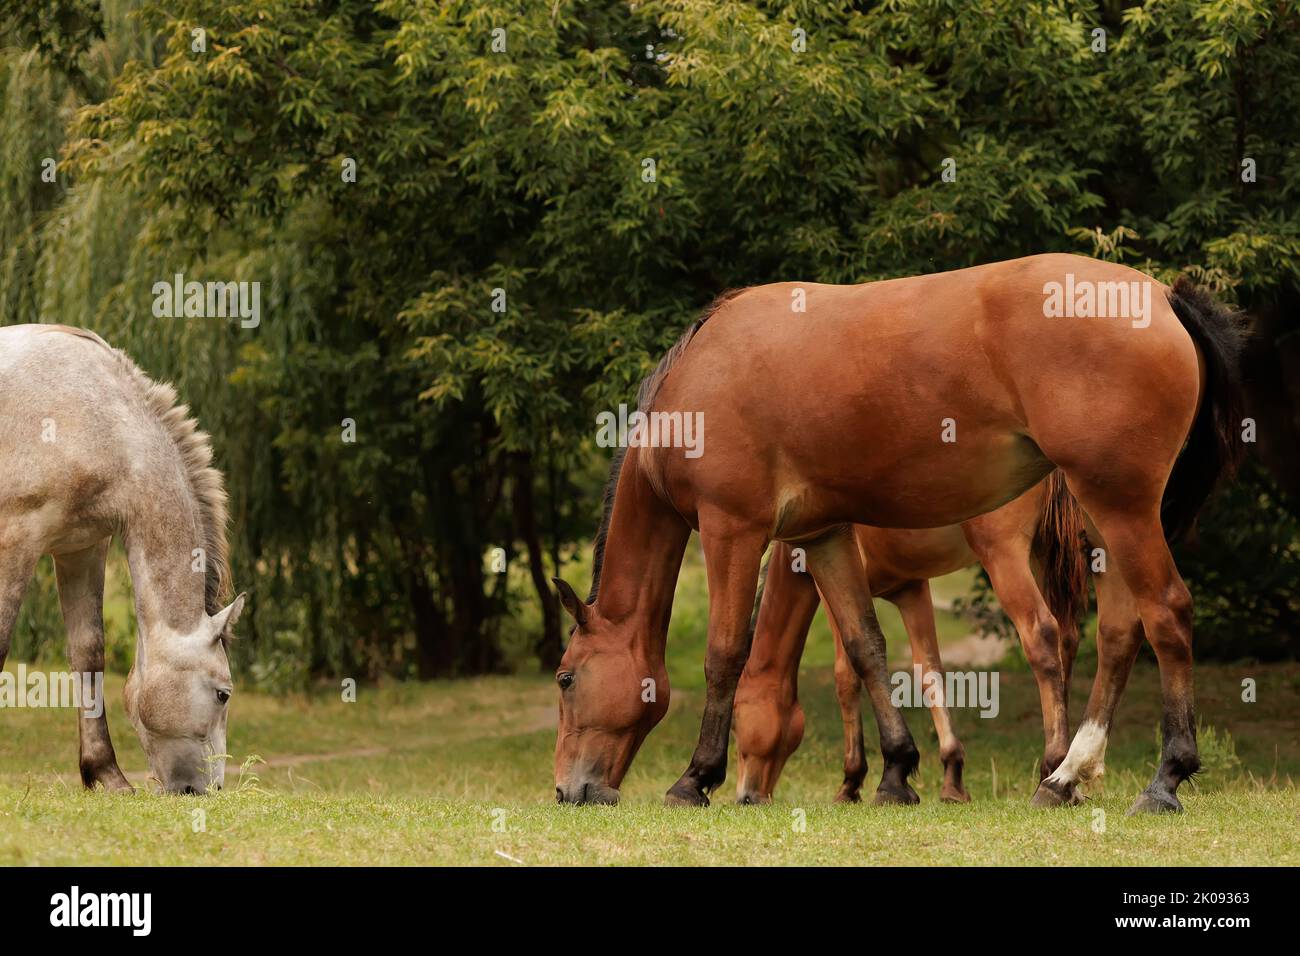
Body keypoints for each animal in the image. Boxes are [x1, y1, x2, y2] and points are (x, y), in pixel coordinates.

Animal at [0, 325, 245, 794]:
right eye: (223, 693)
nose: (210, 790)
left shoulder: (81, 548)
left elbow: (88, 652)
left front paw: (105, 773)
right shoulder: (16, 539)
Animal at [731, 471, 1089, 805]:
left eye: (735, 720)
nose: (745, 796)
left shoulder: (832, 592)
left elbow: (846, 677)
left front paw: (851, 782)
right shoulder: (912, 591)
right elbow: (929, 672)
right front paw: (952, 778)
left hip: (1005, 558)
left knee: (1041, 636)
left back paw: (1053, 767)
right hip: (1044, 558)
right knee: (1066, 640)